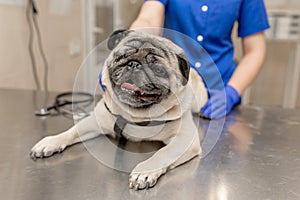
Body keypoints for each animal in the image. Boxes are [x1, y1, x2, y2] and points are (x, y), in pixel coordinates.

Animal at [31, 29, 209, 191]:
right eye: (121, 56)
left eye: (158, 70)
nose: (134, 64)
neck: (136, 116)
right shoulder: (94, 121)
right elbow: (71, 132)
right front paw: (51, 142)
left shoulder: (185, 139)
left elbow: (163, 153)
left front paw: (145, 171)